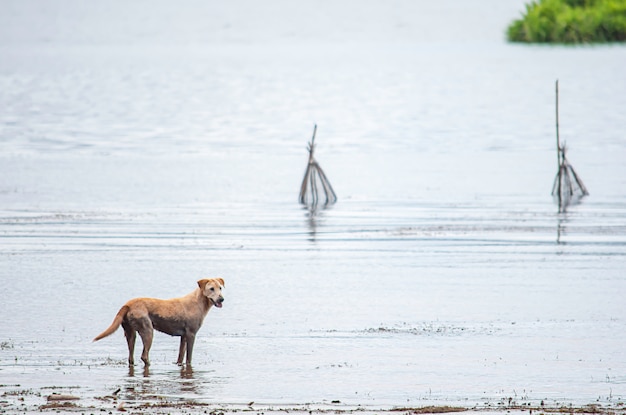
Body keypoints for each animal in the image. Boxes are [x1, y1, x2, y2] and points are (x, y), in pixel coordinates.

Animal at [93, 280, 224, 368]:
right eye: (211, 288)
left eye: (220, 288)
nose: (221, 299)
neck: (198, 302)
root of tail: (127, 304)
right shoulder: (191, 334)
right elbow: (189, 358)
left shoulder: (184, 336)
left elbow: (180, 355)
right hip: (148, 330)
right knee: (144, 356)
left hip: (130, 333)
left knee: (131, 357)